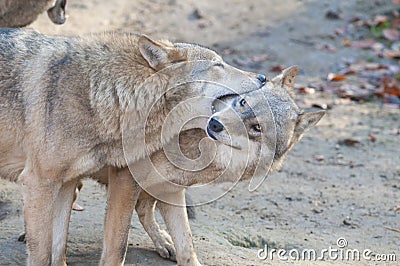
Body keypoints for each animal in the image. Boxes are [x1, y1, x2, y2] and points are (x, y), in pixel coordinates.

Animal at [0, 28, 268, 264]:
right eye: (218, 65)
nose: (263, 77)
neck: (99, 93)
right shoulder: (39, 183)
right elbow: (45, 254)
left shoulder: (67, 183)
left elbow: (59, 250)